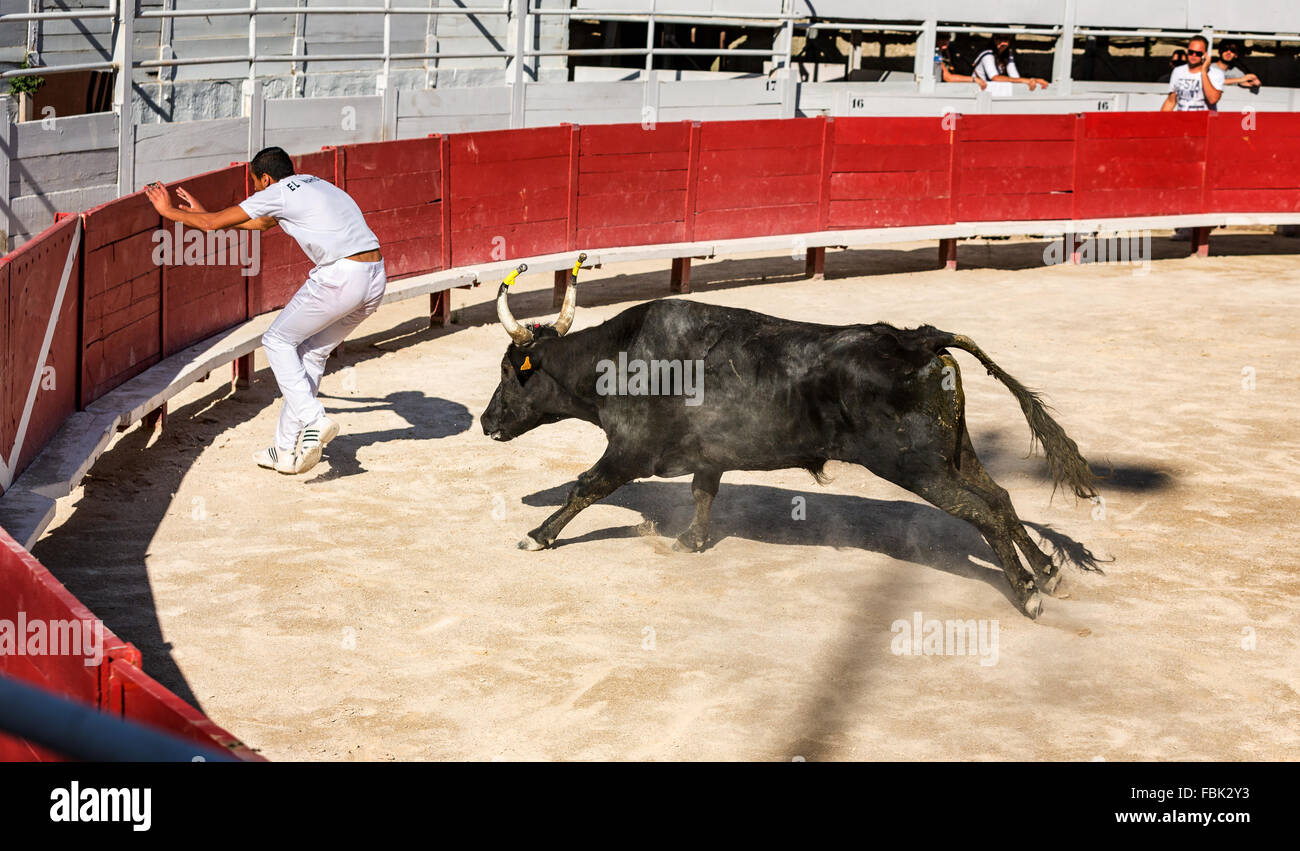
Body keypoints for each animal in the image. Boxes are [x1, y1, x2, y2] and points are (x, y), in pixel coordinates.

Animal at [483, 296, 1102, 615]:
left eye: (510, 372)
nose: (487, 422)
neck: (619, 356)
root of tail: (918, 338)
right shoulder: (708, 454)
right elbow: (702, 492)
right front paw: (690, 542)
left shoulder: (629, 452)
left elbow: (585, 485)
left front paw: (536, 536)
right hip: (957, 452)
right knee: (1001, 497)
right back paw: (1048, 573)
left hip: (918, 466)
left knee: (983, 511)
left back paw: (1027, 593)